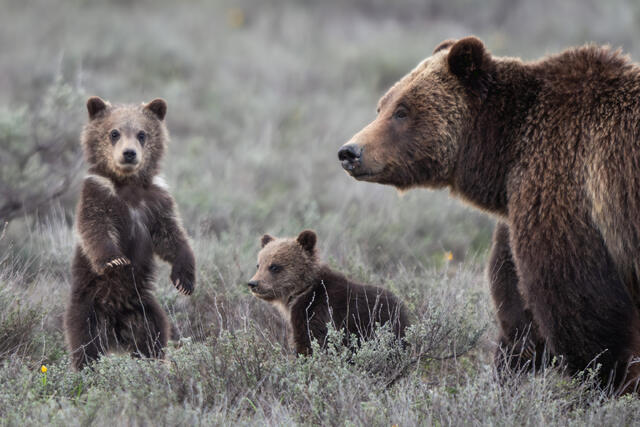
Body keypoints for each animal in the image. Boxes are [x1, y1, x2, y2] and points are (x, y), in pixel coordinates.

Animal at [64, 96, 196, 370]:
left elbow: (172, 236)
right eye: (114, 133)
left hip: (145, 312)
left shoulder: (155, 204)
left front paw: (185, 280)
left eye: (142, 134)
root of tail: (116, 331)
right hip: (87, 309)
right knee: (86, 346)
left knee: (153, 340)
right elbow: (96, 228)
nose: (129, 153)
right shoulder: (98, 195)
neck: (128, 186)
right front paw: (114, 260)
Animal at [248, 230, 409, 355]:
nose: (253, 283)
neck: (303, 291)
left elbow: (311, 344)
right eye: (258, 264)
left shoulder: (317, 313)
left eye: (274, 266)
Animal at [338, 36, 640, 393]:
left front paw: (604, 383)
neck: (504, 153)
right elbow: (518, 312)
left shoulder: (567, 192)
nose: (350, 151)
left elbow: (583, 311)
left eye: (402, 110)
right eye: (381, 106)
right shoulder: (518, 216)